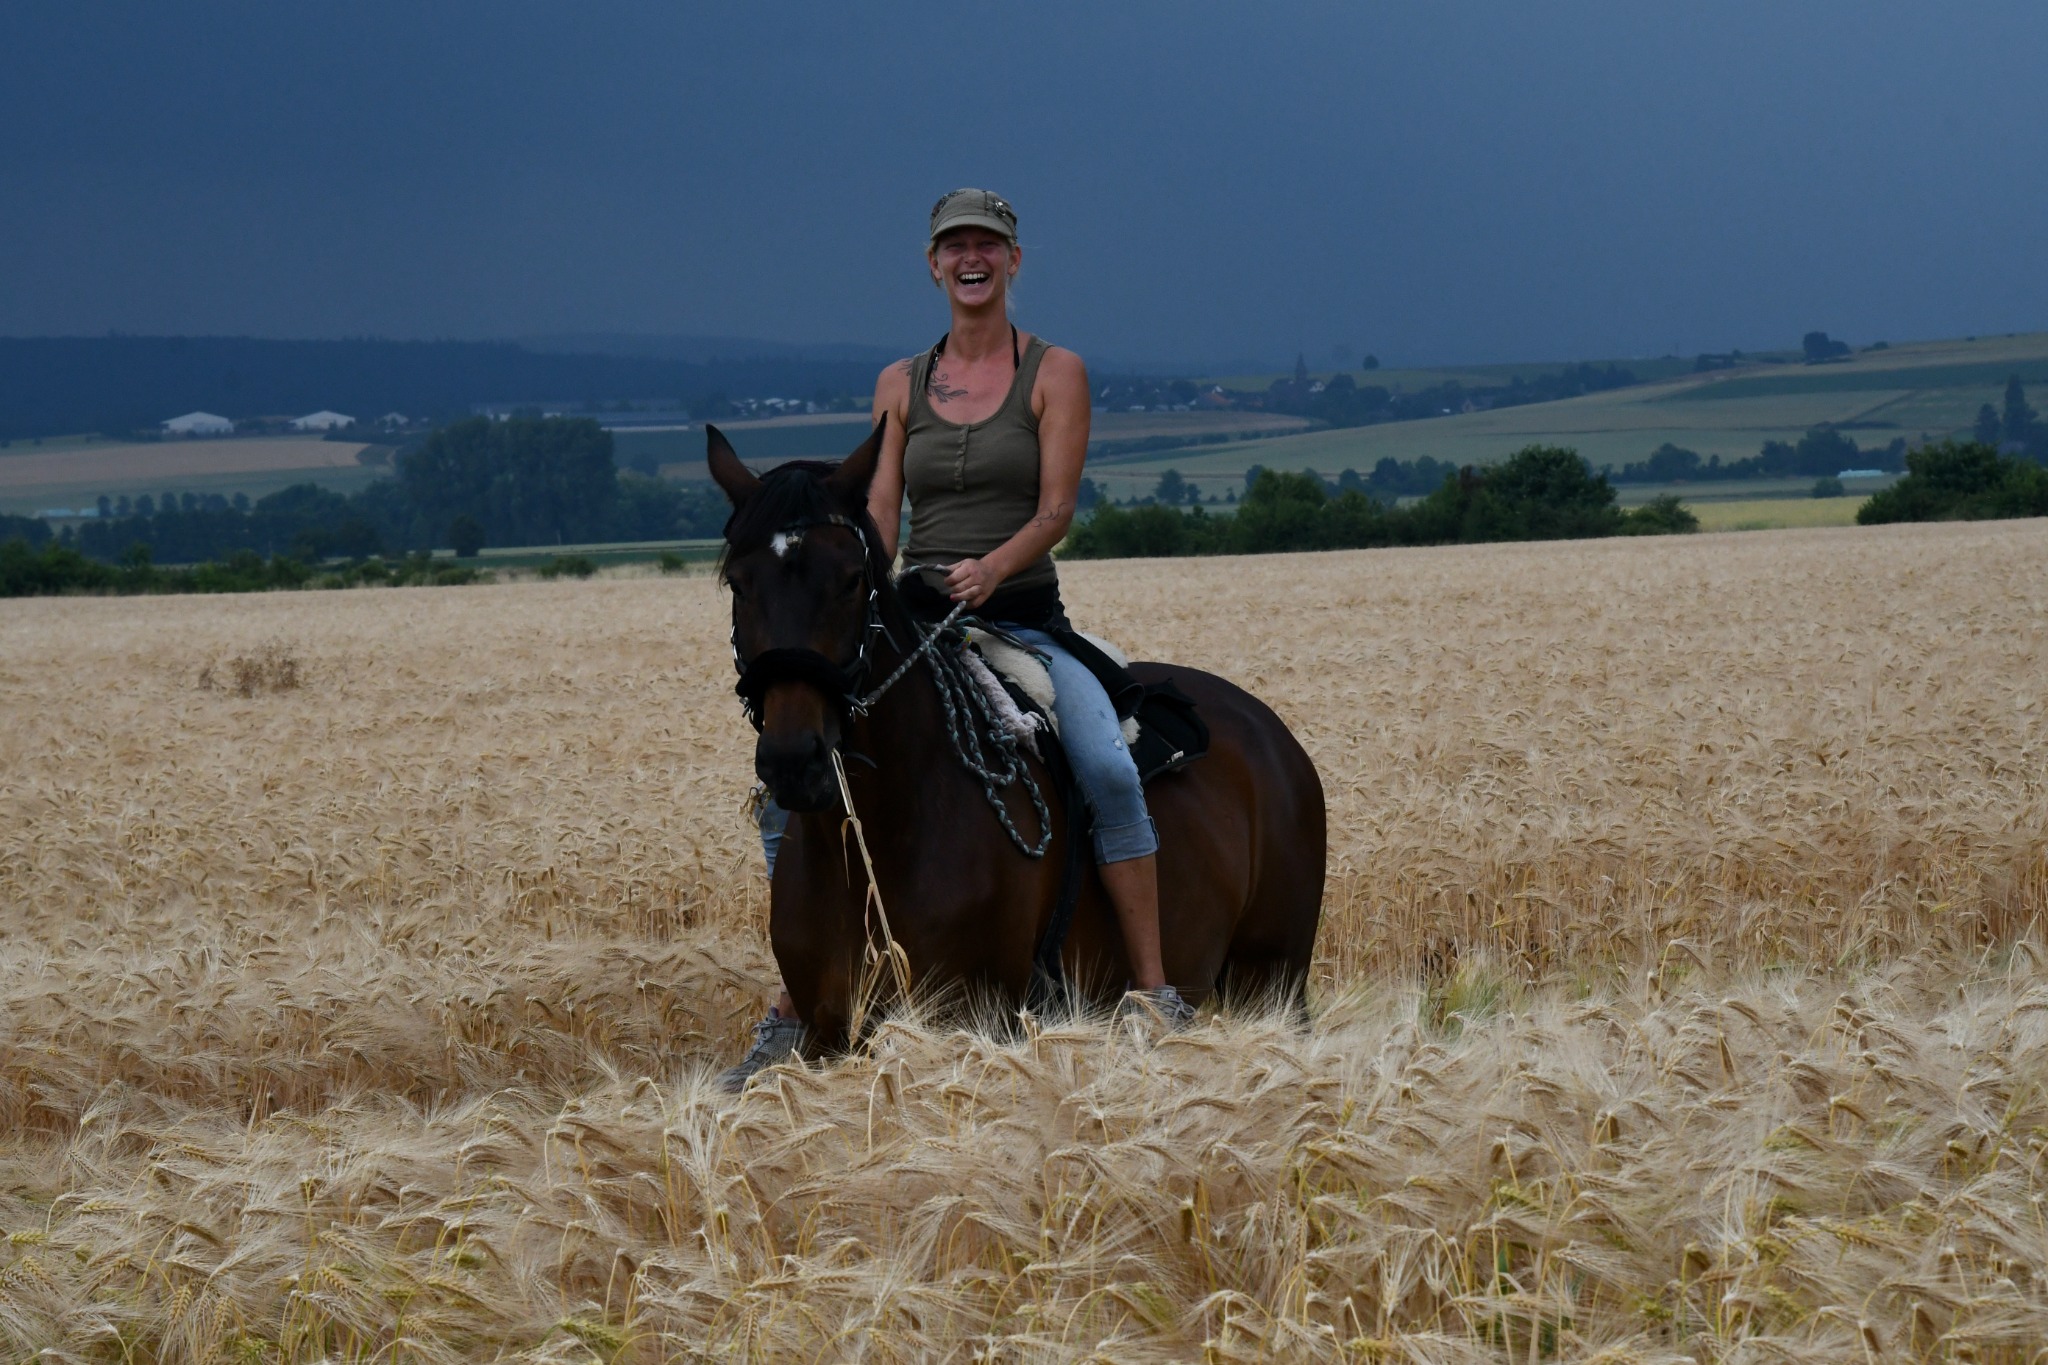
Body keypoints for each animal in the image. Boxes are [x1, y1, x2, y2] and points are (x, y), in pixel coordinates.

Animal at [708, 421, 1326, 1050]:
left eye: (852, 580)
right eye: (738, 583)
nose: (793, 759)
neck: (875, 843)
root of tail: (1267, 726)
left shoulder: (970, 1017)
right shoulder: (831, 1035)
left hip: (1271, 977)